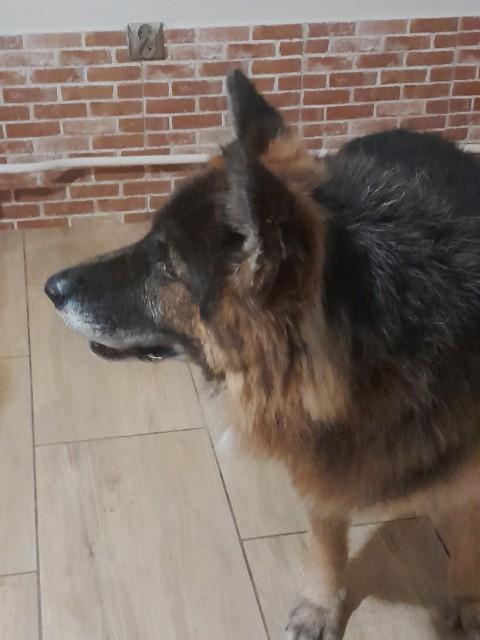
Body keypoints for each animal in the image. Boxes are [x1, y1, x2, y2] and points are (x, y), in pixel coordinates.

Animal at [45, 70, 480, 639]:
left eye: (165, 264)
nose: (50, 288)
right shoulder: (319, 465)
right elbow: (325, 540)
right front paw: (320, 605)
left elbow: (467, 548)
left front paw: (470, 606)